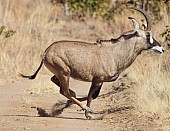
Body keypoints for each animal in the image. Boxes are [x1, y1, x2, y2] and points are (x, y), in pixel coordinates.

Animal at [19, 7, 163, 119]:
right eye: (148, 35)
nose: (161, 49)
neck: (115, 53)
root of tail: (46, 51)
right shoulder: (98, 80)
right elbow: (90, 96)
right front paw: (88, 114)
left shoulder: (100, 81)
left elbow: (92, 96)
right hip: (64, 73)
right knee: (64, 91)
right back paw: (83, 108)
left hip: (61, 73)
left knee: (60, 85)